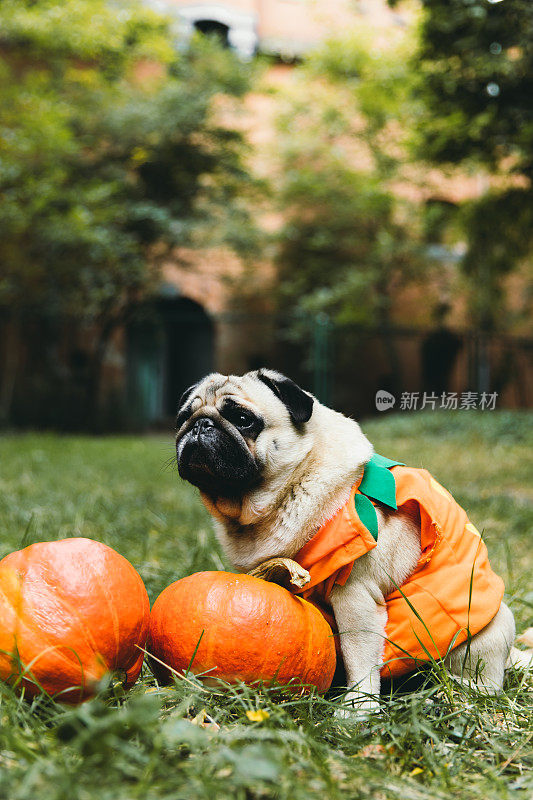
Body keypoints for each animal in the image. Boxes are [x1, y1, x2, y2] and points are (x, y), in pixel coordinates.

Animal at [175, 368, 516, 712]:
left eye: (243, 419)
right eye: (184, 417)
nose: (201, 424)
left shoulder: (356, 595)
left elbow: (358, 653)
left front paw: (358, 707)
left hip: (482, 637)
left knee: (481, 681)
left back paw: (452, 696)